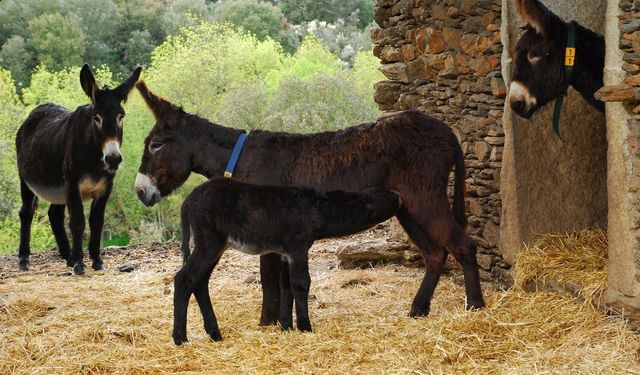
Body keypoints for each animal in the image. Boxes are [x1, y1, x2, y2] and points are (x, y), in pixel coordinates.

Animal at [15, 64, 141, 274]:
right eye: (96, 118)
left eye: (121, 116)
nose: (113, 159)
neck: (94, 158)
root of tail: (35, 112)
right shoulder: (73, 185)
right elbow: (78, 222)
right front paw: (80, 264)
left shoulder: (105, 188)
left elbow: (96, 222)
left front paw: (96, 260)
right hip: (26, 181)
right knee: (27, 213)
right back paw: (24, 259)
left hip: (58, 187)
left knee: (55, 215)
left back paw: (69, 256)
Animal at [175, 178, 400, 346]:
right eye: (383, 197)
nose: (399, 196)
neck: (318, 208)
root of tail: (187, 202)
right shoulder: (298, 248)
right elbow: (301, 284)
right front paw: (305, 327)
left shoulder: (285, 254)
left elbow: (285, 286)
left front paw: (286, 327)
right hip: (209, 243)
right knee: (184, 279)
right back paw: (180, 339)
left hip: (216, 247)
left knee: (200, 283)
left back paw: (214, 335)